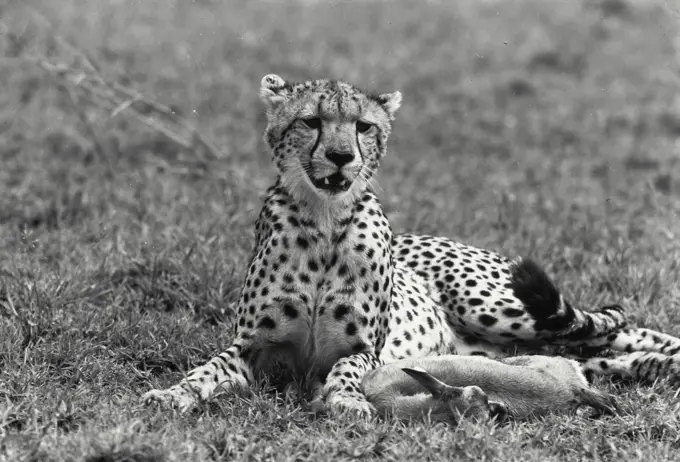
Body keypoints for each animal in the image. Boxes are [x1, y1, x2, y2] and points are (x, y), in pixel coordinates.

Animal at [142, 75, 680, 416]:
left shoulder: (366, 349)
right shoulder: (253, 346)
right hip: (507, 348)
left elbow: (346, 369)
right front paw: (170, 394)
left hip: (502, 309)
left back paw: (664, 356)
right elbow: (205, 371)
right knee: (597, 354)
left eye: (363, 126)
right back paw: (657, 366)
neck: (323, 220)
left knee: (616, 327)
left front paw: (348, 400)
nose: (341, 156)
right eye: (311, 121)